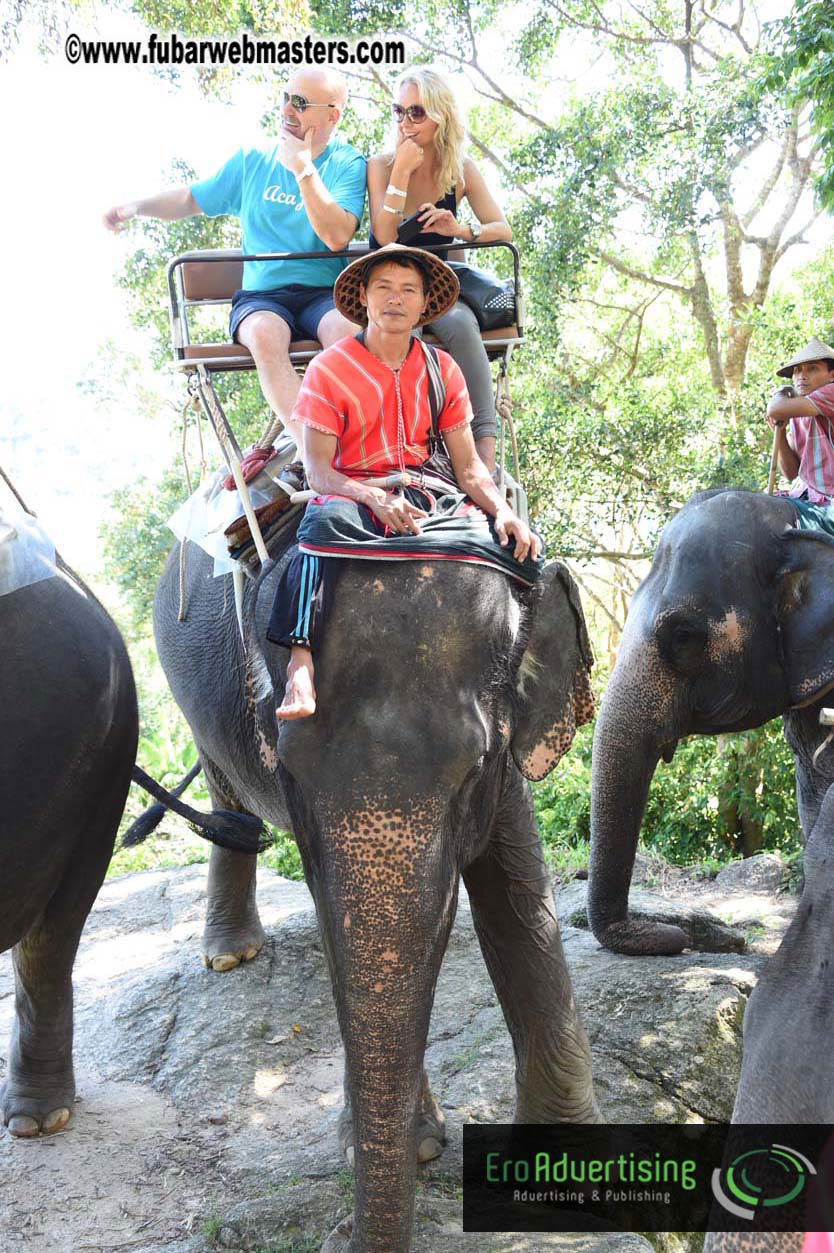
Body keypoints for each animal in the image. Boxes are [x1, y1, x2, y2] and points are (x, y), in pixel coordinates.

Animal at [153, 536, 599, 1253]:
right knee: (225, 792)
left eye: (475, 765)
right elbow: (340, 924)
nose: (340, 1235)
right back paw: (229, 955)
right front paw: (408, 1147)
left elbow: (519, 899)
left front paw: (568, 1178)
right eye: (290, 768)